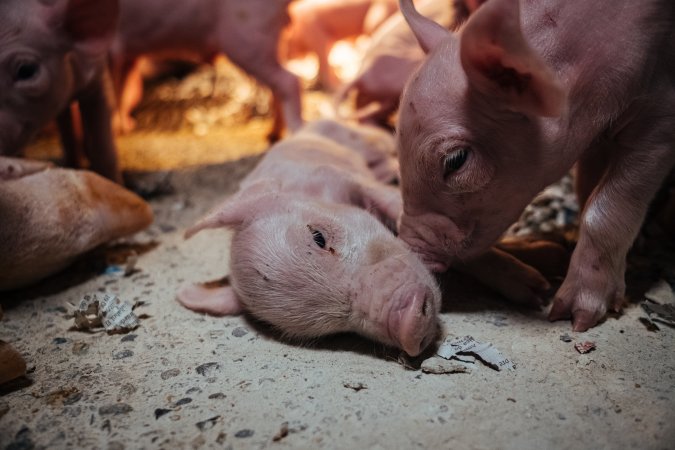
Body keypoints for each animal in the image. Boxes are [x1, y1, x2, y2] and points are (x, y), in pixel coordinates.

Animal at [110, 0, 303, 140]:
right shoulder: (129, 55)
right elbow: (121, 91)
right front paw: (124, 128)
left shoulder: (114, 46)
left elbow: (114, 92)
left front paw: (116, 130)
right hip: (272, 37)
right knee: (279, 86)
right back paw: (273, 135)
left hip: (247, 34)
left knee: (289, 80)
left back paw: (295, 134)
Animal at [396, 0, 675, 331]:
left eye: (456, 160)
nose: (408, 250)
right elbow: (587, 186)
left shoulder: (661, 115)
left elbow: (605, 208)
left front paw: (574, 318)